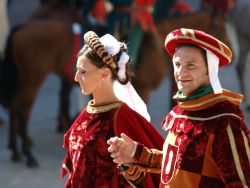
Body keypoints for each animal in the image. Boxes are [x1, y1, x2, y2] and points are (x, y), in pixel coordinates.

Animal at [0, 8, 229, 167]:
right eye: (219, 26)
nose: (229, 55)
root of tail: (23, 26)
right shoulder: (144, 89)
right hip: (33, 79)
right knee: (22, 110)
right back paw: (28, 154)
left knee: (15, 106)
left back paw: (17, 151)